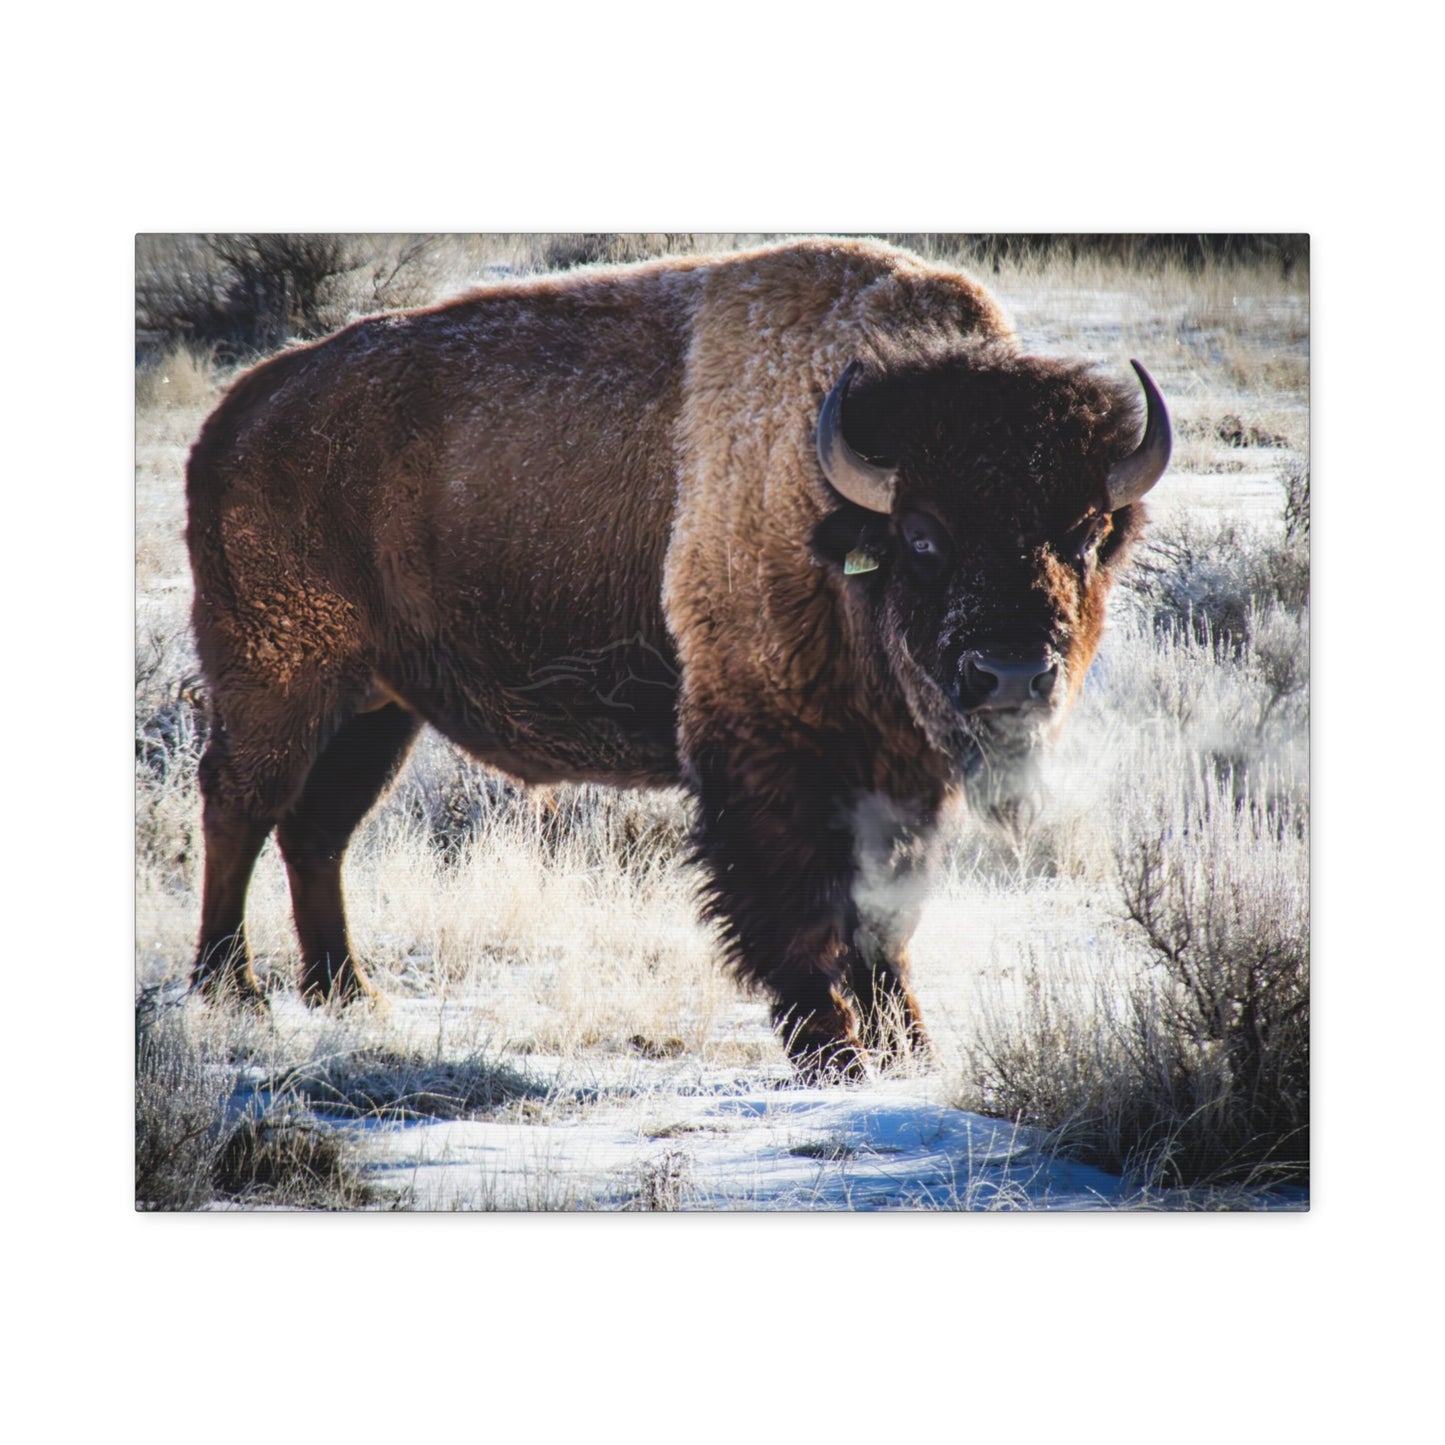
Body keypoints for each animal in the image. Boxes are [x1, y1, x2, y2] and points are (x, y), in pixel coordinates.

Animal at [185, 237, 1170, 1078]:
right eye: (923, 536)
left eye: (1085, 534)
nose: (1010, 675)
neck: (830, 499)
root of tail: (236, 414)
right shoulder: (768, 754)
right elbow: (800, 911)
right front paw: (836, 1055)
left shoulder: (900, 774)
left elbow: (884, 917)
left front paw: (909, 1052)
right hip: (278, 678)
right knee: (241, 806)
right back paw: (231, 990)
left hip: (377, 709)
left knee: (317, 830)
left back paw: (348, 993)